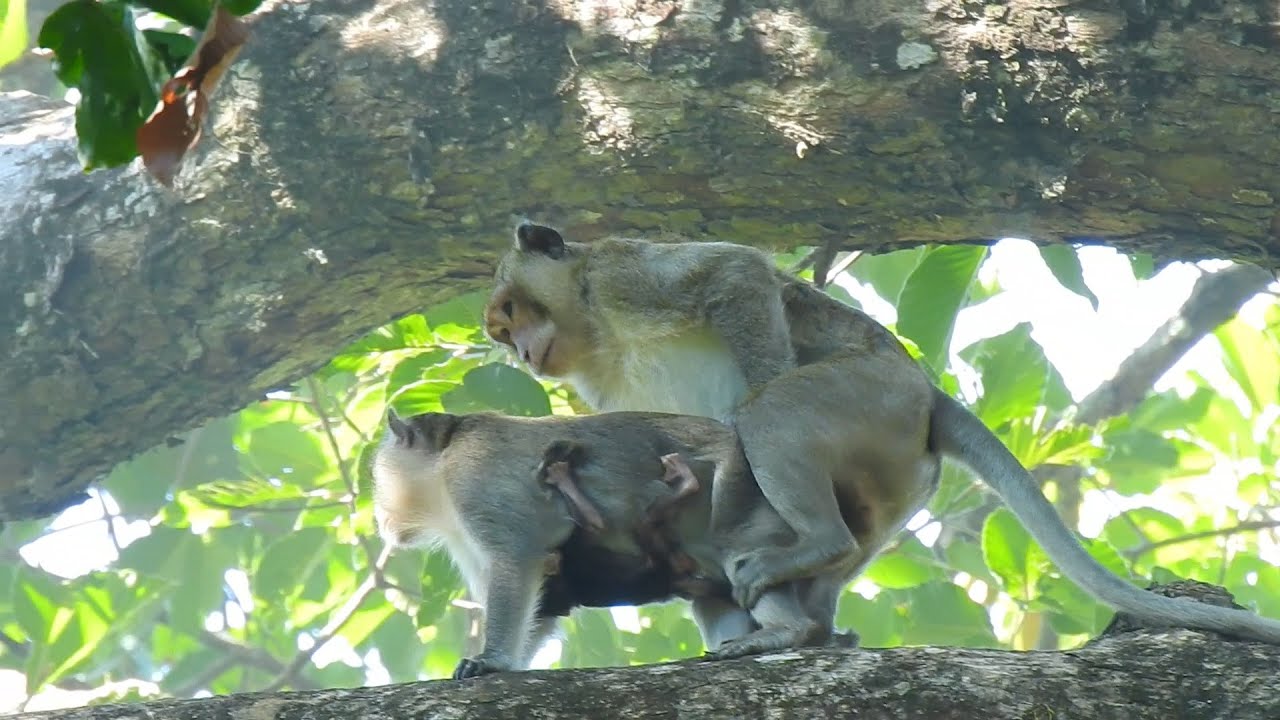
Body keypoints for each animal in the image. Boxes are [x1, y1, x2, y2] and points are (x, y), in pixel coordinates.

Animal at [371, 409, 842, 680]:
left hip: (744, 491)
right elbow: (547, 599)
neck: (441, 468)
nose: (380, 515)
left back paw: (789, 629)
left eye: (379, 474)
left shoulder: (473, 478)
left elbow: (515, 561)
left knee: (740, 549)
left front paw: (494, 660)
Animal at [484, 222, 1280, 645]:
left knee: (773, 414)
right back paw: (809, 621)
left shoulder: (622, 277)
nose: (519, 351)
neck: (594, 334)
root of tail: (927, 391)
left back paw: (810, 550)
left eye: (512, 311)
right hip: (901, 476)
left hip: (870, 396)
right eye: (499, 330)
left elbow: (735, 276)